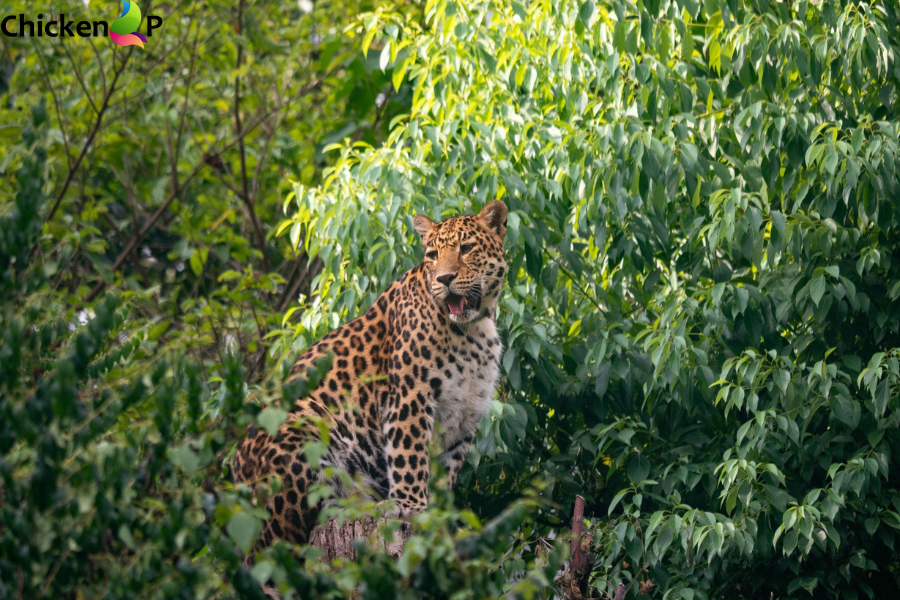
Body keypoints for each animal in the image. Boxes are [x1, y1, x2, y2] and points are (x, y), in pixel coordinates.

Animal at [232, 200, 509, 550]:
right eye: (433, 255)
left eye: (467, 248)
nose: (444, 278)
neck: (474, 329)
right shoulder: (409, 395)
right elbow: (409, 456)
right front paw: (411, 507)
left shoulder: (465, 415)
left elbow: (444, 471)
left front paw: (439, 515)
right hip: (300, 435)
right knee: (287, 533)